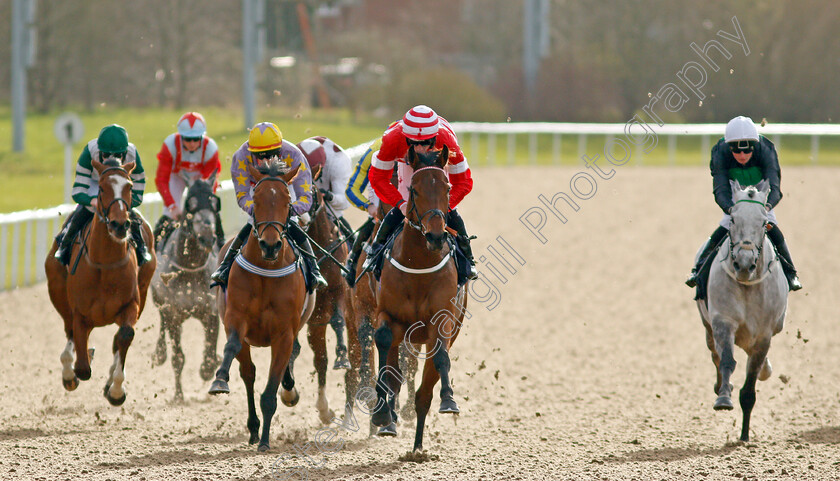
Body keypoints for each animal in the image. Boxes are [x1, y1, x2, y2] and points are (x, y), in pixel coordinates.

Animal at [45, 158, 157, 404]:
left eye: (130, 187)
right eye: (103, 188)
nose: (119, 224)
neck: (105, 264)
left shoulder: (131, 304)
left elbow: (124, 335)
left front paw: (115, 389)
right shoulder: (80, 312)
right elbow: (82, 366)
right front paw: (76, 368)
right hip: (56, 287)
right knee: (69, 332)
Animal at [151, 174, 223, 400]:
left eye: (214, 202)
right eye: (190, 203)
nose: (207, 237)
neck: (191, 267)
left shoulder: (211, 312)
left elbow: (210, 357)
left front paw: (210, 367)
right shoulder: (174, 314)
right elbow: (178, 358)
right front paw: (178, 396)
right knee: (162, 323)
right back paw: (159, 353)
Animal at [209, 159, 316, 452]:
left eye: (288, 200)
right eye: (255, 199)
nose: (270, 245)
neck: (267, 271)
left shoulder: (284, 333)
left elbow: (271, 389)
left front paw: (267, 441)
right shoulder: (235, 318)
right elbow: (232, 347)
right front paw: (219, 379)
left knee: (287, 363)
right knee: (248, 373)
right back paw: (253, 427)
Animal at [370, 145, 470, 450]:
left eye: (447, 188)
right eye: (414, 189)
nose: (436, 235)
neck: (419, 263)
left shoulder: (443, 321)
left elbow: (441, 359)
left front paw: (449, 399)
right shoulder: (386, 314)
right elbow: (383, 343)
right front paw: (381, 412)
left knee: (424, 392)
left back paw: (417, 447)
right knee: (394, 372)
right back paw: (389, 420)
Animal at [696, 180, 788, 442]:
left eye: (764, 222)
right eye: (734, 219)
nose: (744, 264)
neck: (748, 284)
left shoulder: (764, 335)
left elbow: (750, 386)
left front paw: (745, 436)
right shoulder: (723, 321)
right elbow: (726, 360)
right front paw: (723, 397)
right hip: (708, 326)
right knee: (715, 355)